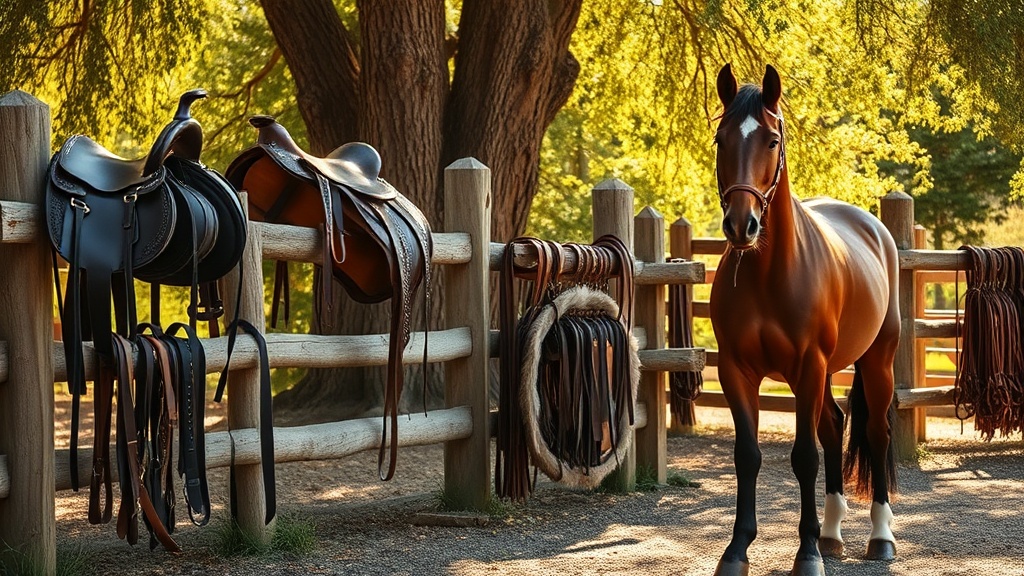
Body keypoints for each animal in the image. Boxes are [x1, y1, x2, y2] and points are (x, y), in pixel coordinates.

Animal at [708, 63, 900, 576]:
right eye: (720, 138)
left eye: (772, 139)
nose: (741, 225)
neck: (770, 274)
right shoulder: (735, 370)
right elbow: (747, 456)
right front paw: (737, 550)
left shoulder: (808, 368)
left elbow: (804, 458)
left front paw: (807, 554)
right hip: (828, 372)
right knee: (834, 425)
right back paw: (832, 534)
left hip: (876, 362)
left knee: (875, 432)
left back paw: (879, 537)